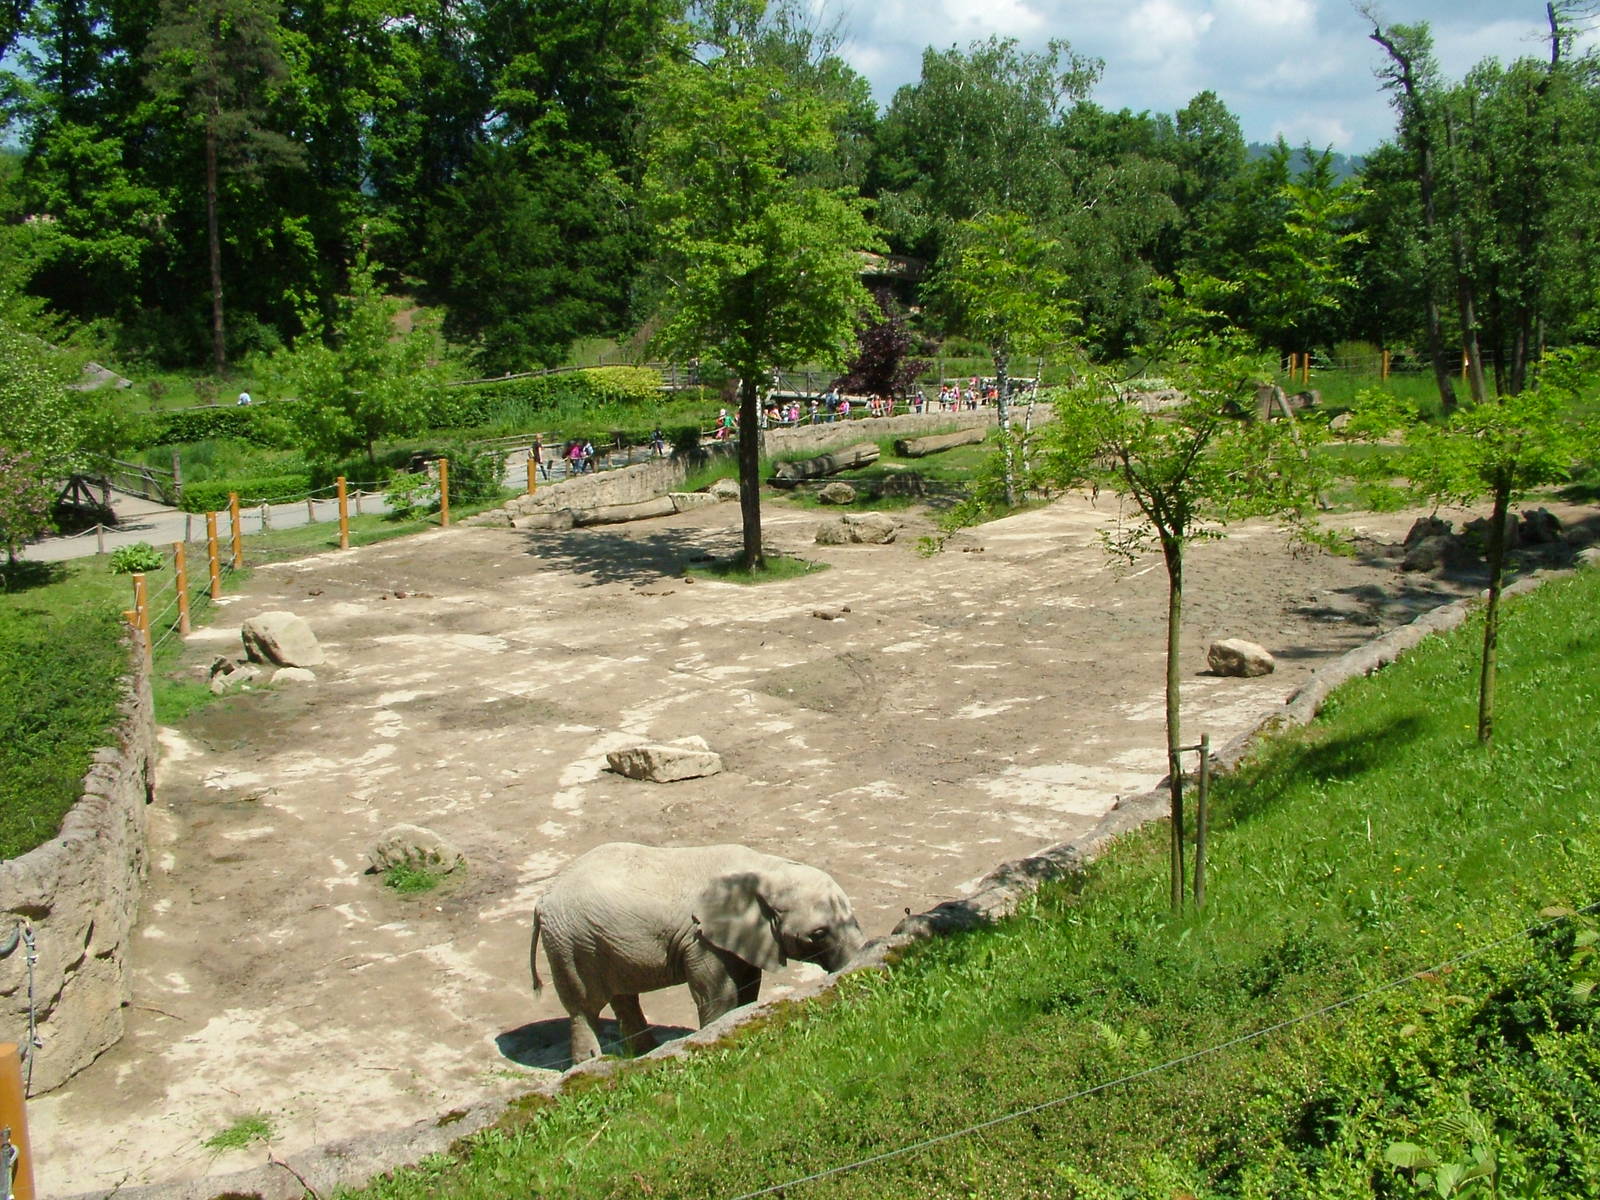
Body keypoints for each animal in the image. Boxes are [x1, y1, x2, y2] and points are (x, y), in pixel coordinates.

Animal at [530, 842, 865, 1063]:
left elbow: (747, 986)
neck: (768, 870)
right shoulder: (700, 941)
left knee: (624, 998)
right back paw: (591, 1064)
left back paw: (644, 1054)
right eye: (818, 934)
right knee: (584, 1007)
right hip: (571, 944)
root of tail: (542, 899)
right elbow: (720, 995)